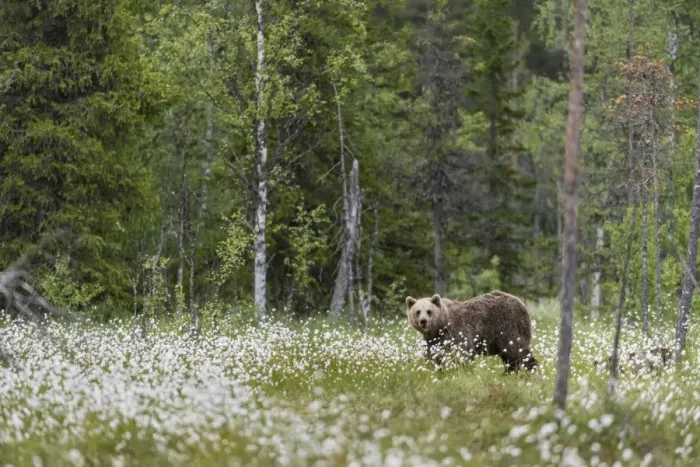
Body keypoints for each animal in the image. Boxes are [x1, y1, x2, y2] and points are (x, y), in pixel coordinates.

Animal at [406, 290, 537, 372]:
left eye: (429, 311)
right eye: (417, 311)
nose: (423, 321)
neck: (440, 328)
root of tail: (520, 303)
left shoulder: (457, 331)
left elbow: (463, 352)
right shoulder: (433, 341)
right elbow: (434, 356)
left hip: (508, 327)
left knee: (517, 350)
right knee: (509, 357)